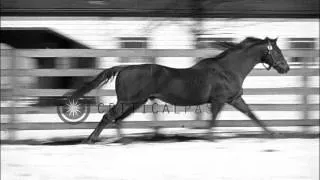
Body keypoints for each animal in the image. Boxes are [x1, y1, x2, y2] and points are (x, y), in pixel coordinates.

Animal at [67, 37, 290, 143]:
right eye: (277, 52)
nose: (286, 68)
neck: (228, 69)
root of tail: (124, 68)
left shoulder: (234, 99)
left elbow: (252, 115)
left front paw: (273, 133)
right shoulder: (219, 100)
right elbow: (213, 120)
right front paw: (209, 138)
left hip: (137, 102)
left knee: (117, 120)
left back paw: (123, 140)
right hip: (127, 101)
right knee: (108, 117)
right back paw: (91, 139)